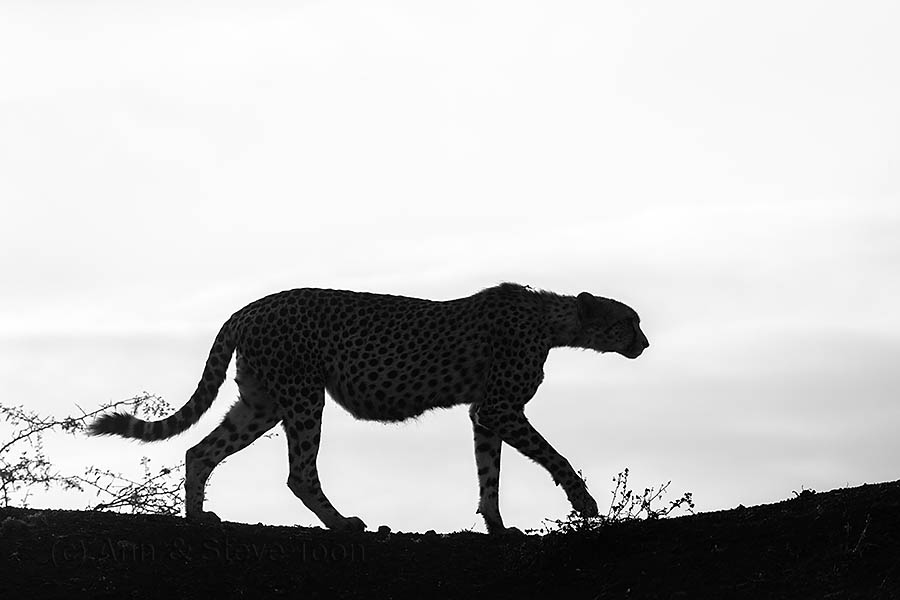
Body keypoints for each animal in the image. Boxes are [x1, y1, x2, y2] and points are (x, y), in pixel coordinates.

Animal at [89, 283, 649, 534]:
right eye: (629, 321)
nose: (645, 343)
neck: (553, 321)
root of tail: (251, 305)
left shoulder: (483, 412)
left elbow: (488, 471)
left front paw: (496, 525)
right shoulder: (500, 407)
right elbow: (554, 456)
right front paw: (585, 503)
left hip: (261, 402)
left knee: (200, 451)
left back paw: (198, 519)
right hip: (303, 395)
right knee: (299, 471)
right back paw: (340, 523)